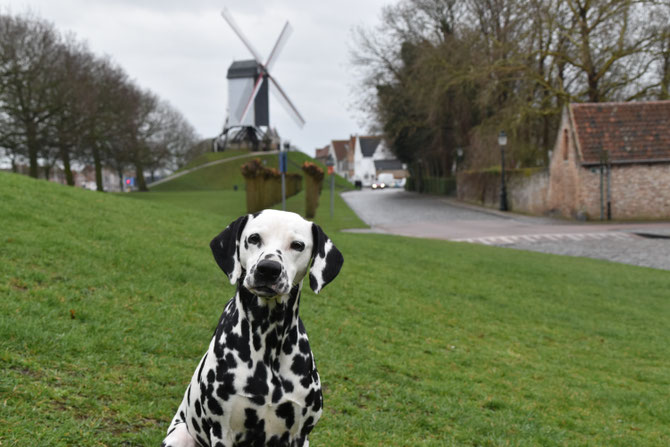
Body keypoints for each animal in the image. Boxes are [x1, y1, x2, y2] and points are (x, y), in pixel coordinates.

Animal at [161, 210, 344, 447]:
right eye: (254, 238)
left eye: (297, 245)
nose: (269, 269)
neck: (268, 337)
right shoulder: (222, 431)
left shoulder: (299, 435)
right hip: (180, 436)